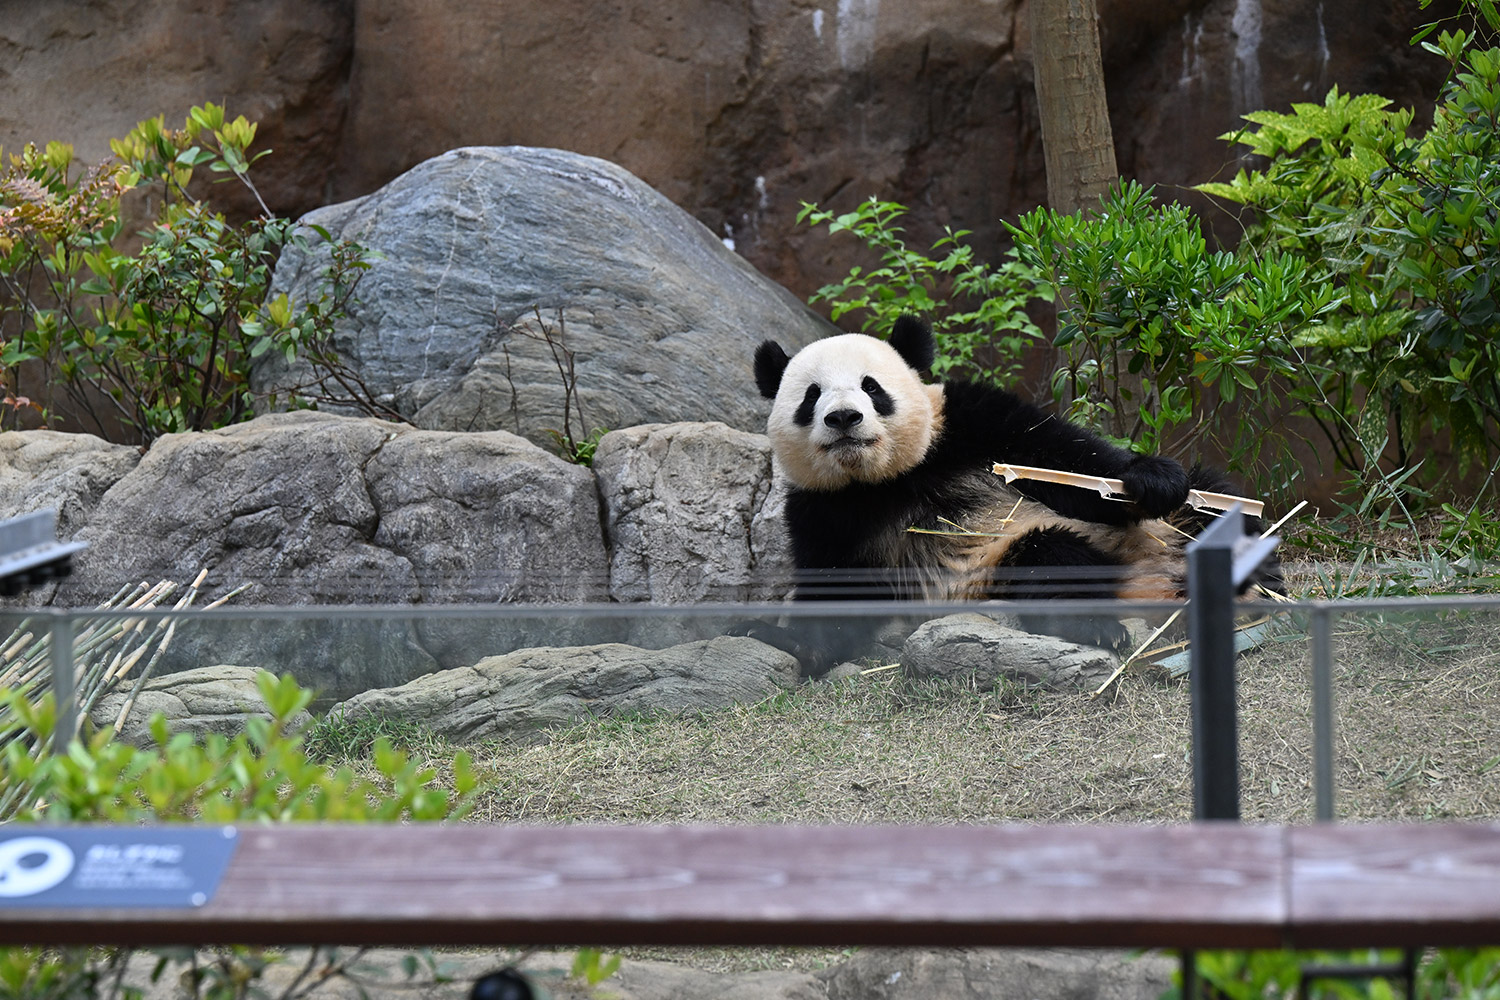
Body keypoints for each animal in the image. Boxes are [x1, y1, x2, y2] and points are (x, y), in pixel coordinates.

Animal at [744, 316, 1272, 677]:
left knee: (1217, 500)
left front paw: (1150, 479)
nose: (843, 418)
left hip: (1172, 525)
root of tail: (1157, 579)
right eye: (812, 396)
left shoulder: (969, 421)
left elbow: (1065, 461)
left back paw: (1254, 574)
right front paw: (782, 639)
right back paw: (1098, 624)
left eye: (871, 387)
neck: (886, 476)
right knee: (1049, 557)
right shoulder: (823, 510)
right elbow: (836, 592)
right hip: (997, 567)